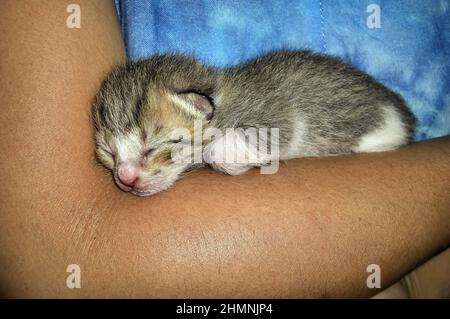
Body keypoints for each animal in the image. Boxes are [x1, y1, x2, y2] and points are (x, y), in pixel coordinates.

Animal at [91, 50, 414, 196]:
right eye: (109, 153)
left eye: (152, 146)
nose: (125, 178)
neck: (225, 96)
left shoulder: (279, 113)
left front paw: (226, 156)